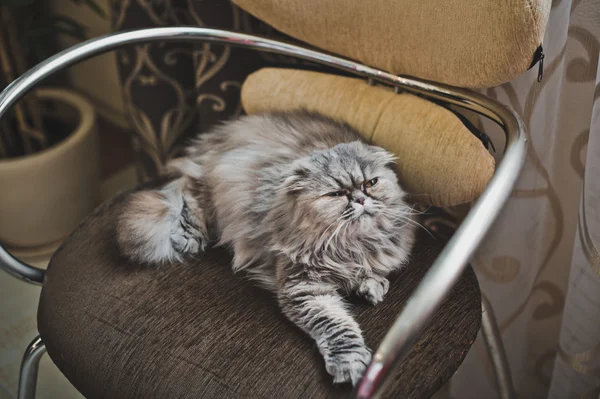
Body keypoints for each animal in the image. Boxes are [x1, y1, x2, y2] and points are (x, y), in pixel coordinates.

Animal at [118, 110, 418, 388]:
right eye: (335, 194)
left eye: (371, 183)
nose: (360, 199)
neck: (351, 245)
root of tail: (214, 138)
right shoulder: (304, 287)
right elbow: (338, 327)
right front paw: (350, 364)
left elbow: (373, 273)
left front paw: (371, 285)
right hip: (218, 183)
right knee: (190, 195)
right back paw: (188, 236)